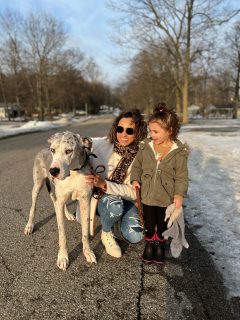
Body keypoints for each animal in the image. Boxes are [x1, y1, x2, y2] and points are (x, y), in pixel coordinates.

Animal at [23, 130, 96, 270]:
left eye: (68, 151)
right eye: (53, 150)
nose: (53, 171)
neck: (73, 173)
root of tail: (42, 149)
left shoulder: (85, 202)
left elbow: (85, 233)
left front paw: (88, 252)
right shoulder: (60, 200)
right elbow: (62, 235)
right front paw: (63, 257)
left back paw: (67, 214)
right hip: (37, 186)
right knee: (33, 207)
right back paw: (29, 226)